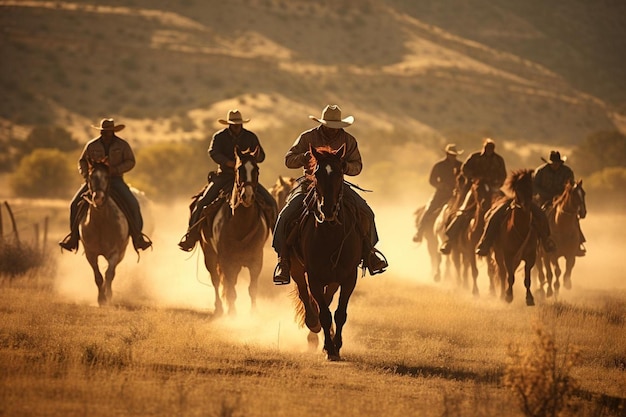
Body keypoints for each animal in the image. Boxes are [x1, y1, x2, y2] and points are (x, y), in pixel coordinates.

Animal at [79, 160, 130, 306]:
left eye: (107, 177)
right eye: (90, 177)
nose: (98, 198)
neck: (101, 224)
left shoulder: (114, 253)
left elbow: (109, 274)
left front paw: (108, 297)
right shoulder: (90, 254)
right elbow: (98, 277)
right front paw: (101, 299)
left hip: (121, 253)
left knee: (112, 273)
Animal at [288, 145, 360, 360]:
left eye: (339, 172)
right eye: (317, 173)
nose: (327, 209)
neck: (331, 233)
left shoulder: (349, 278)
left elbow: (339, 313)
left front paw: (336, 345)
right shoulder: (314, 277)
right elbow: (324, 313)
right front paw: (329, 348)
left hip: (334, 279)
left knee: (326, 301)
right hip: (296, 269)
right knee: (306, 296)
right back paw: (313, 326)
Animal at [490, 169, 532, 306]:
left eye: (531, 186)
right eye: (518, 188)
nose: (526, 205)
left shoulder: (530, 257)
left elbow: (527, 278)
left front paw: (529, 298)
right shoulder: (508, 254)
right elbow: (510, 276)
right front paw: (508, 296)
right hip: (498, 253)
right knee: (503, 273)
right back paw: (502, 295)